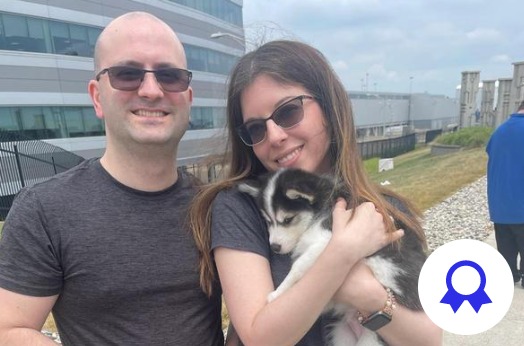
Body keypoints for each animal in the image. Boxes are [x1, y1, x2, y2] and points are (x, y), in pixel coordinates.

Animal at [239, 167, 428, 344]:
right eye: (268, 221)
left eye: (287, 219)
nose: (275, 247)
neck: (322, 205)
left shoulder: (328, 240)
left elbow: (297, 267)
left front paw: (278, 293)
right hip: (341, 335)